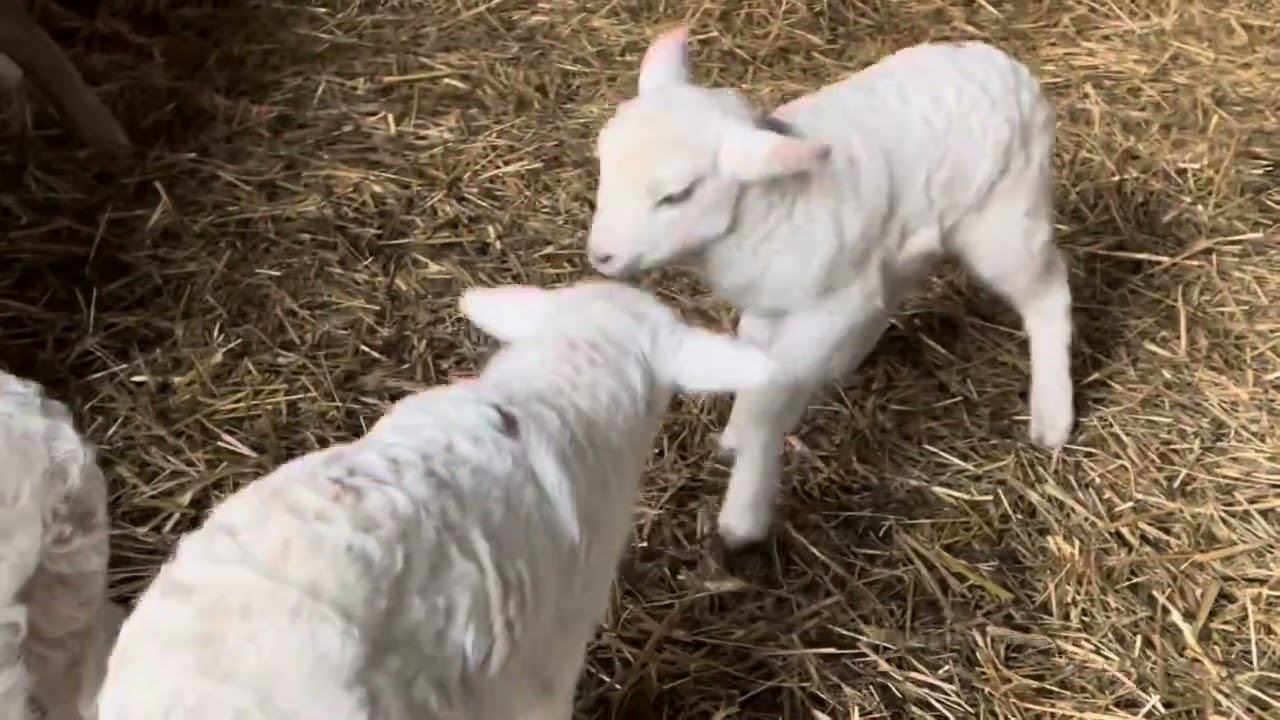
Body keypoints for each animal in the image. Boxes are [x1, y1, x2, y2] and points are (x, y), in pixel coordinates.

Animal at [586, 26, 1075, 550]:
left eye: (676, 195)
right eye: (604, 161)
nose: (601, 256)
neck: (770, 208)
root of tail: (1006, 65)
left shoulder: (829, 306)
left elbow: (770, 398)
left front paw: (744, 512)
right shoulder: (771, 307)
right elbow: (756, 370)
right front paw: (739, 434)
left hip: (1006, 218)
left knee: (1048, 294)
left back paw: (1052, 415)